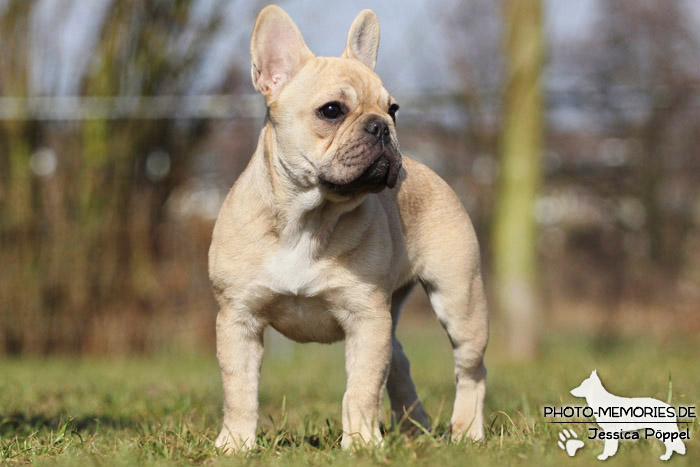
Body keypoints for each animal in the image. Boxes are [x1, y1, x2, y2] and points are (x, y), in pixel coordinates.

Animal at [209, 5, 486, 454]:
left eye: (394, 109)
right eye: (332, 111)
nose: (382, 126)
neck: (308, 218)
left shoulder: (366, 318)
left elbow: (361, 388)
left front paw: (360, 444)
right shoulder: (238, 317)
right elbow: (239, 389)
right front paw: (235, 444)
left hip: (460, 299)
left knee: (470, 370)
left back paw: (466, 432)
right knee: (400, 362)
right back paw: (414, 426)